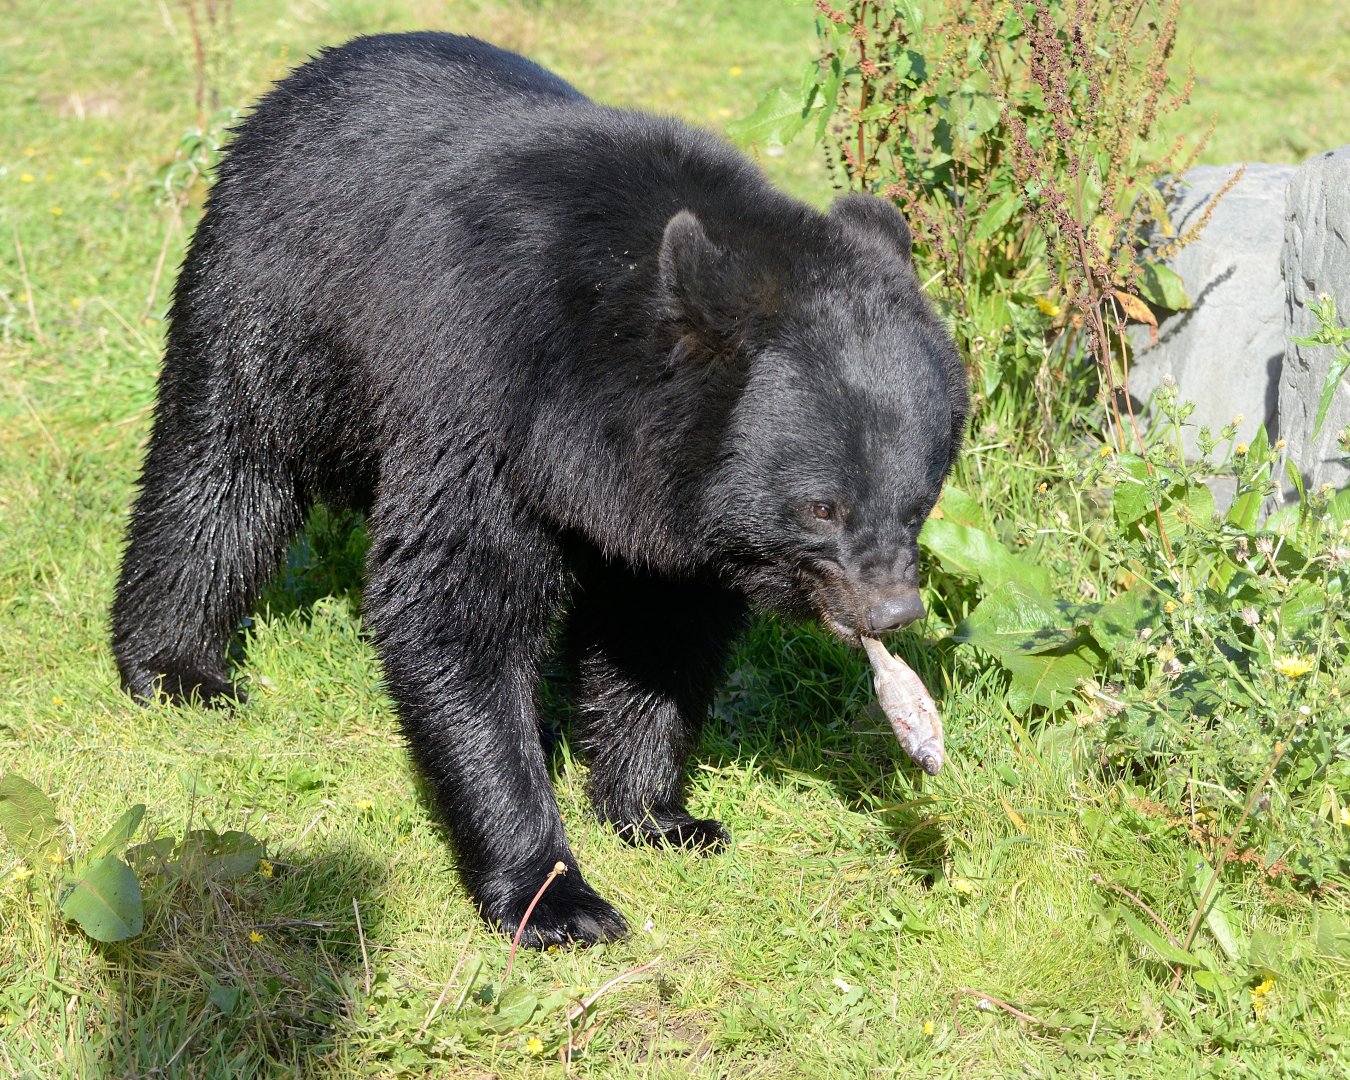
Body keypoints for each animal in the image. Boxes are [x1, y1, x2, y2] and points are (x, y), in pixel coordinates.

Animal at [112, 32, 968, 947]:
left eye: (920, 500)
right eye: (821, 507)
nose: (891, 613)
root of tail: (306, 76)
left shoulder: (667, 507)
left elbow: (659, 630)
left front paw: (661, 816)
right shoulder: (486, 399)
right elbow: (458, 606)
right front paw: (557, 900)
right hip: (270, 299)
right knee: (221, 471)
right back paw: (177, 671)